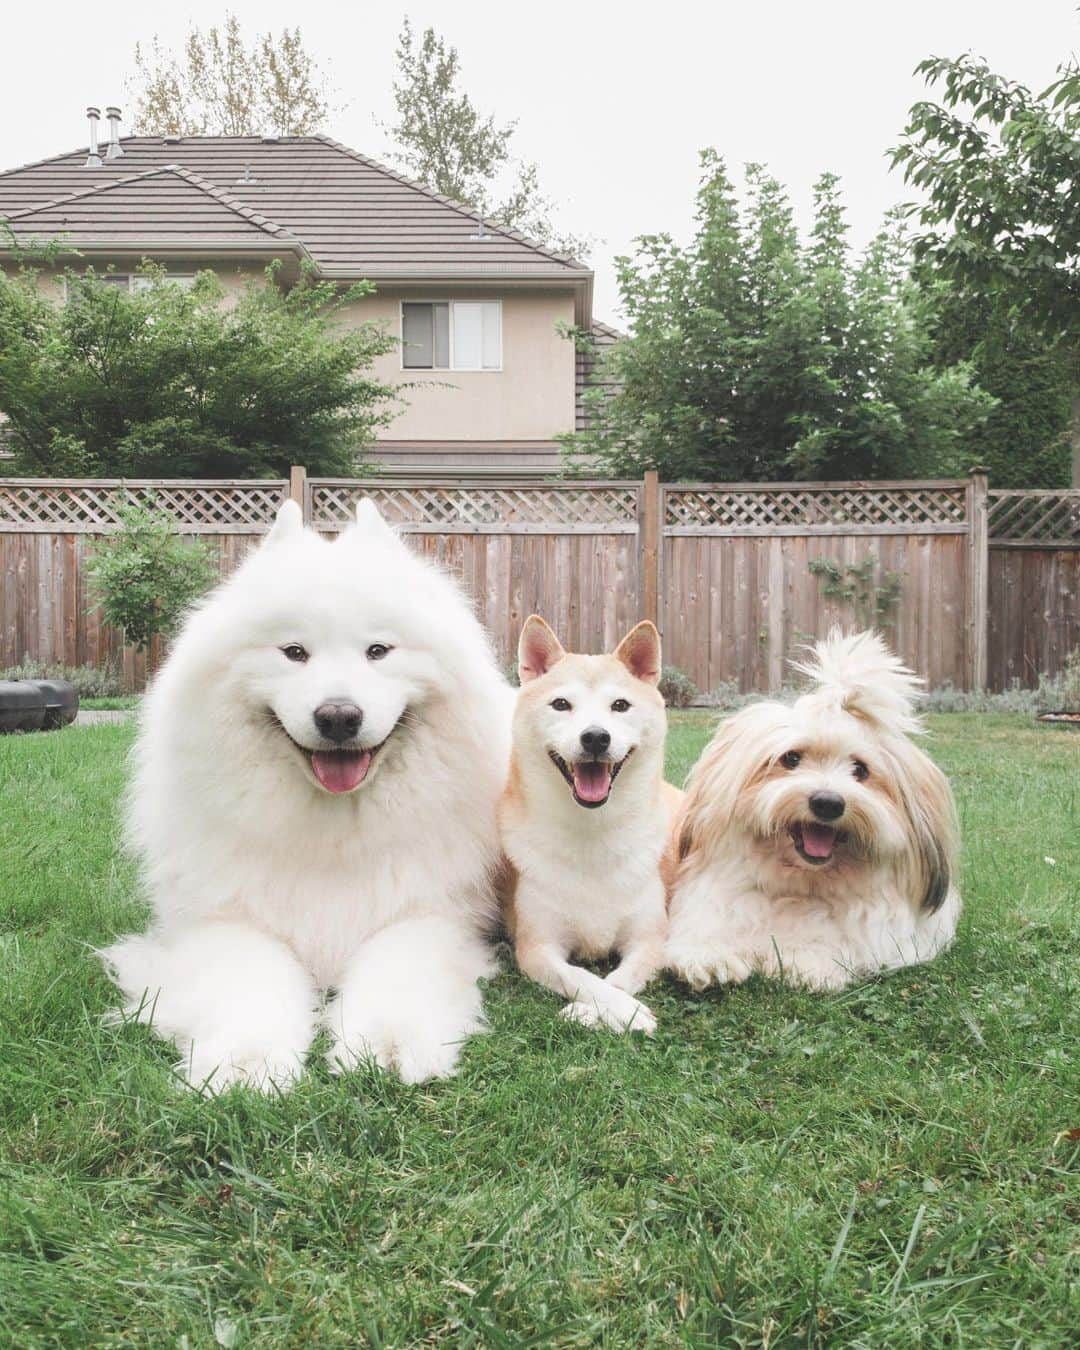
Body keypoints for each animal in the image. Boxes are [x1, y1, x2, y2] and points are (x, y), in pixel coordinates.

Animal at [105, 502, 515, 1090]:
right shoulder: (228, 920)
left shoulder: (426, 914)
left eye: (378, 651)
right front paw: (246, 1060)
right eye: (294, 652)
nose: (339, 716)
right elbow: (250, 983)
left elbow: (395, 974)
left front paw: (384, 1042)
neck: (332, 831)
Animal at [499, 615, 683, 1031]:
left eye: (620, 705)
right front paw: (613, 1010)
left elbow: (619, 980)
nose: (596, 737)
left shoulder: (650, 940)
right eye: (561, 704)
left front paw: (602, 1011)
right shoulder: (538, 946)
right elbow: (581, 977)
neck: (592, 832)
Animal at [666, 631, 961, 993]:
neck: (799, 888)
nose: (828, 803)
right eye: (791, 758)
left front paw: (804, 960)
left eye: (860, 770)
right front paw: (709, 957)